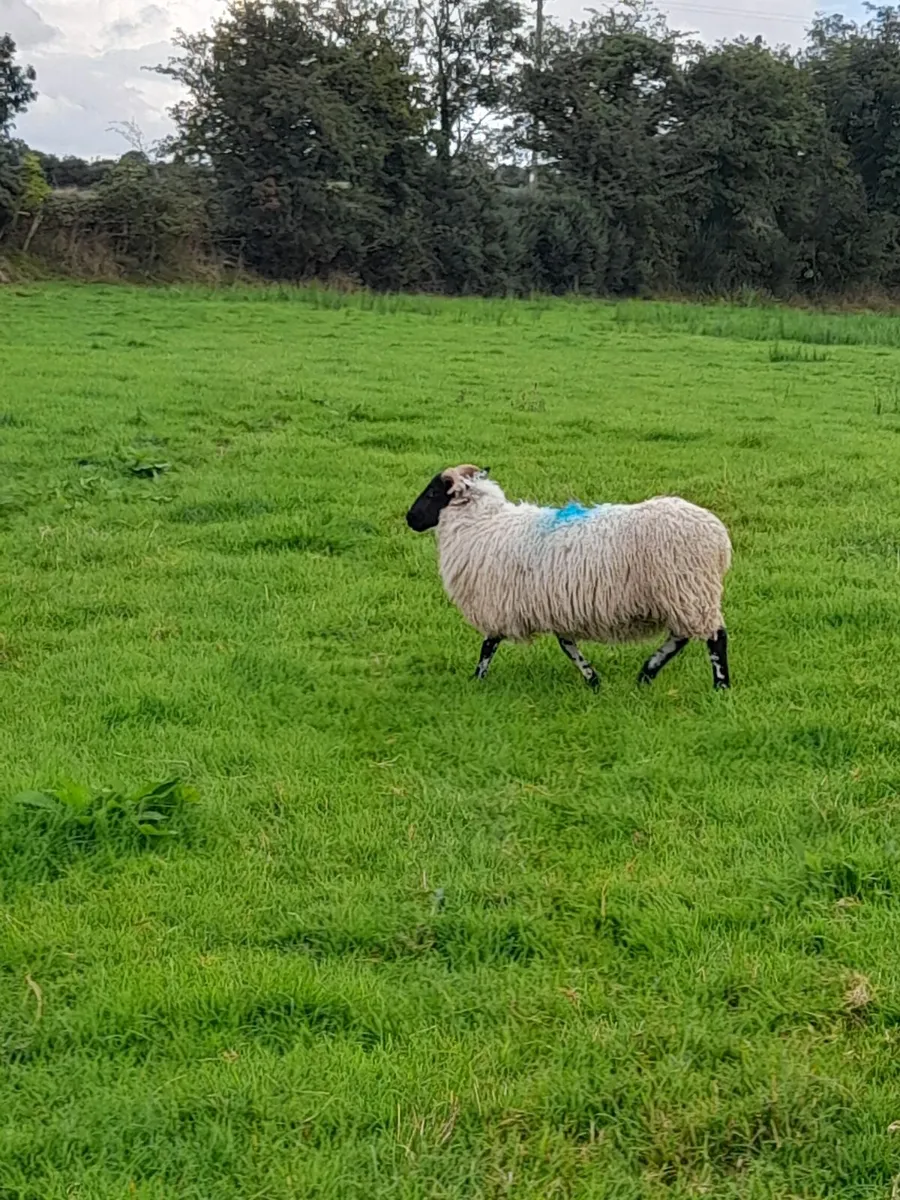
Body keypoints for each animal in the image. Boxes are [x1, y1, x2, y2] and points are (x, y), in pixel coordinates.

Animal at [405, 464, 732, 690]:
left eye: (433, 492)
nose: (410, 518)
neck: (484, 524)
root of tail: (718, 535)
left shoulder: (502, 601)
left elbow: (489, 644)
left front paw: (477, 679)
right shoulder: (552, 603)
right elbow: (567, 644)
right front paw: (593, 679)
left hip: (688, 587)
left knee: (714, 637)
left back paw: (720, 685)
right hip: (685, 593)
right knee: (682, 635)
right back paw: (646, 673)